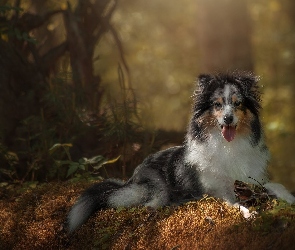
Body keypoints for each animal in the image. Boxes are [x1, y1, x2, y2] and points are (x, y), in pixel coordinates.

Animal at [67, 72, 295, 232]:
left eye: (237, 104)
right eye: (217, 105)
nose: (228, 119)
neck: (228, 145)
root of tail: (132, 177)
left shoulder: (253, 180)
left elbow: (276, 185)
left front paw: (289, 198)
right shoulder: (214, 192)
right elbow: (234, 203)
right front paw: (248, 213)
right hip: (156, 188)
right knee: (146, 204)